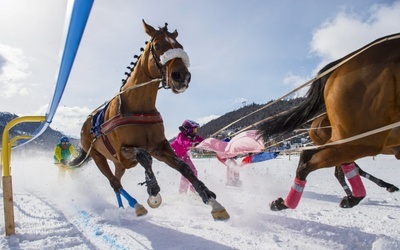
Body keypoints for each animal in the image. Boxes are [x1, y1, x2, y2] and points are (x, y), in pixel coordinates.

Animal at [70, 21, 230, 221]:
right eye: (158, 45)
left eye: (180, 46)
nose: (182, 76)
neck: (138, 108)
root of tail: (86, 124)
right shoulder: (122, 151)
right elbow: (144, 156)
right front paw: (153, 190)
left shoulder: (158, 146)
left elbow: (183, 167)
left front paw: (211, 199)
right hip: (99, 157)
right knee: (114, 182)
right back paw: (135, 204)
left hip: (119, 164)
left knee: (117, 179)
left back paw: (123, 206)